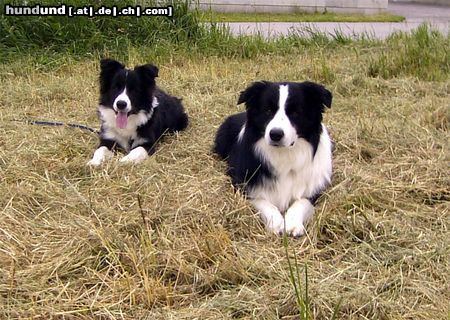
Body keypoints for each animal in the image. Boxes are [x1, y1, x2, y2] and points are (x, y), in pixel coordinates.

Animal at [214, 81, 334, 236]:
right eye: (268, 111)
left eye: (295, 112)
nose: (275, 134)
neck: (284, 155)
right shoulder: (242, 183)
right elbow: (264, 202)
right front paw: (276, 222)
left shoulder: (315, 188)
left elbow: (301, 202)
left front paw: (293, 223)